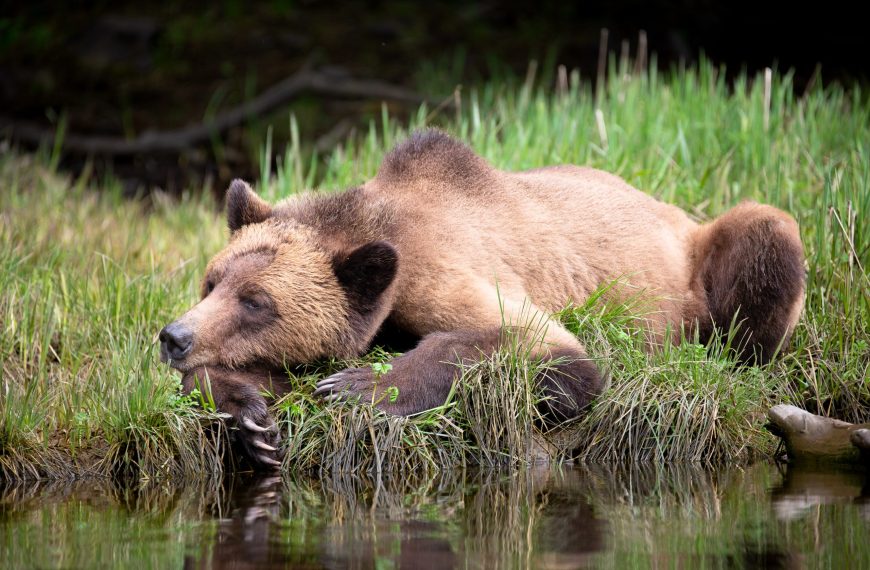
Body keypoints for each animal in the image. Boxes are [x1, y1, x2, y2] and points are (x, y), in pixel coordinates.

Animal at [159, 129, 806, 468]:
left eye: (257, 301)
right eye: (213, 281)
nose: (174, 337)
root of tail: (673, 209)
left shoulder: (445, 270)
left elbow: (542, 348)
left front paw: (358, 387)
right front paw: (250, 417)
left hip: (702, 260)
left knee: (765, 237)